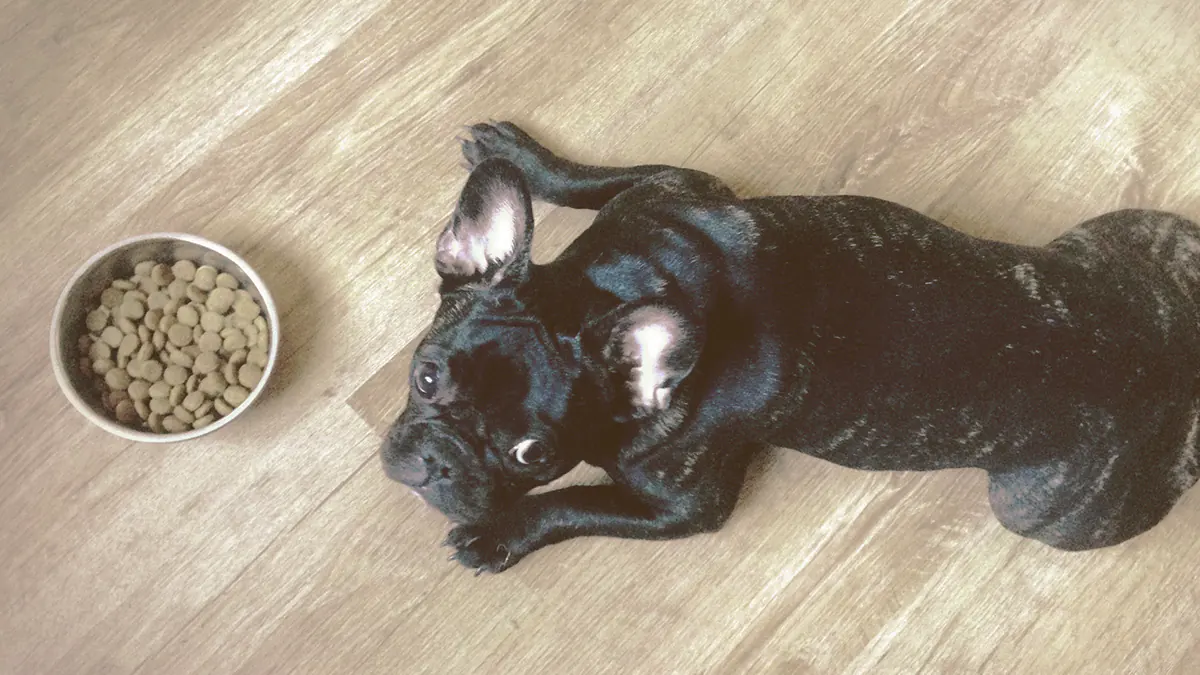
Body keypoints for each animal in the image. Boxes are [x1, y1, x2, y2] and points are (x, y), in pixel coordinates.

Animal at [379, 118, 1200, 569]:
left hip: (1031, 509)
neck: (611, 289)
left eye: (533, 454)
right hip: (1116, 233)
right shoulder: (674, 184)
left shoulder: (684, 505)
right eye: (426, 377)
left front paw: (498, 535)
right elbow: (597, 179)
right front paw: (525, 158)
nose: (435, 462)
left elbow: (575, 506)